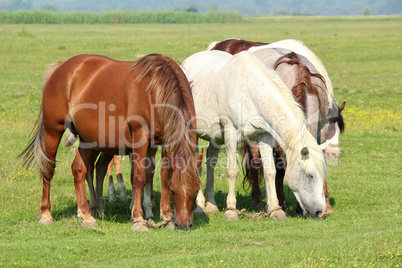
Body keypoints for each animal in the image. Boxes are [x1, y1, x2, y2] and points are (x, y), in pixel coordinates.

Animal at [20, 54, 203, 230]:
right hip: (53, 131)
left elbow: (164, 175)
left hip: (88, 139)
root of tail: (60, 67)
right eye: (174, 192)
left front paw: (166, 217)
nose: (185, 225)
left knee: (80, 169)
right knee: (48, 169)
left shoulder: (165, 141)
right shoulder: (140, 138)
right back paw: (47, 214)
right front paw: (138, 218)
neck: (154, 90)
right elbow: (139, 177)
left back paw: (87, 216)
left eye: (196, 191)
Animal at [181, 49, 328, 220]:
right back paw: (199, 207)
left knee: (211, 161)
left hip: (215, 136)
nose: (319, 212)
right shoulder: (231, 134)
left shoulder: (264, 136)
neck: (249, 91)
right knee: (196, 166)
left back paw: (211, 204)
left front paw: (276, 210)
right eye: (310, 175)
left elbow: (270, 171)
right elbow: (232, 172)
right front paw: (231, 210)